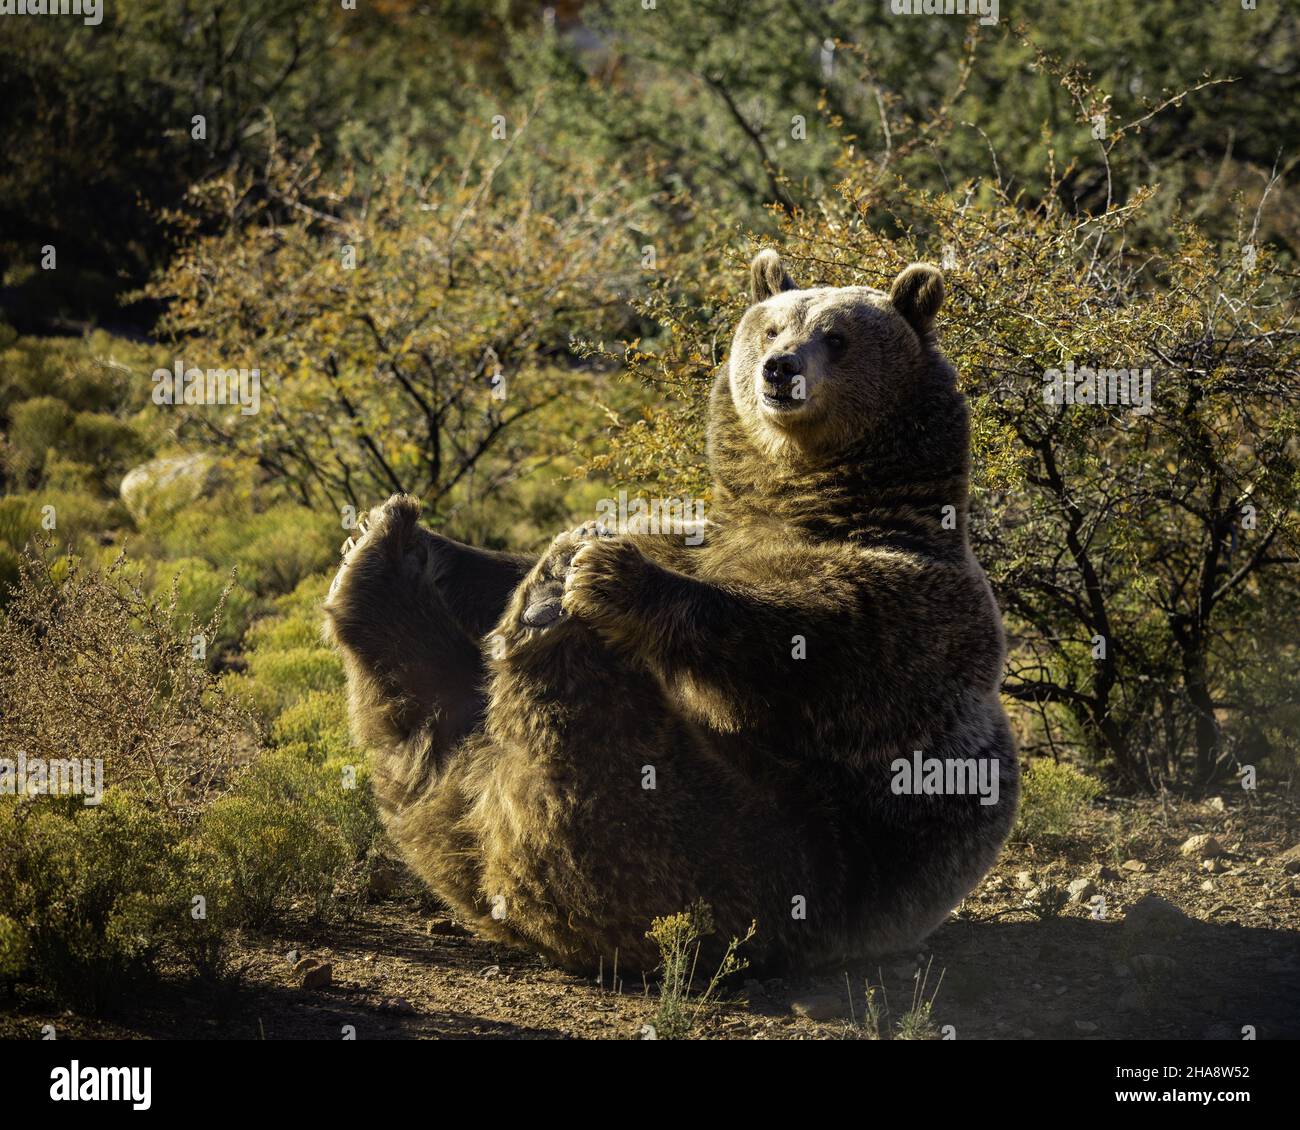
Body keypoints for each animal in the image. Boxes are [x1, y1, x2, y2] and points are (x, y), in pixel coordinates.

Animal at [322, 250, 1013, 972]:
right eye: (772, 328)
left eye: (836, 337)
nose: (780, 369)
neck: (809, 500)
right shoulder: (696, 535)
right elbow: (514, 564)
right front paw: (434, 539)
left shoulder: (910, 606)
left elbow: (801, 642)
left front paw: (611, 576)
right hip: (457, 804)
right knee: (423, 720)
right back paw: (384, 553)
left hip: (758, 849)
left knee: (606, 773)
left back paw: (545, 609)